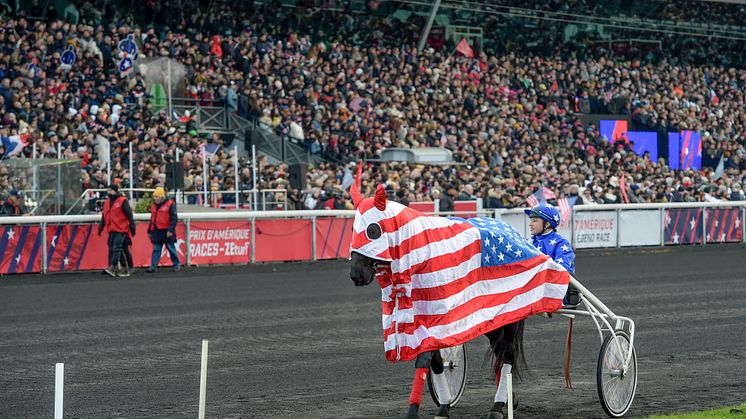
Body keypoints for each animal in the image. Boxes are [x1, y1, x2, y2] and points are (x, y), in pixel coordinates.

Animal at [348, 185, 568, 419]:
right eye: (353, 229)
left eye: (373, 230)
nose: (356, 275)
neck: (424, 256)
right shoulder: (424, 320)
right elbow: (437, 363)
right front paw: (444, 406)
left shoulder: (439, 317)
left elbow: (424, 359)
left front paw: (412, 412)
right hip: (493, 318)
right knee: (499, 352)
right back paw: (509, 398)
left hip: (513, 312)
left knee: (507, 354)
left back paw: (497, 406)